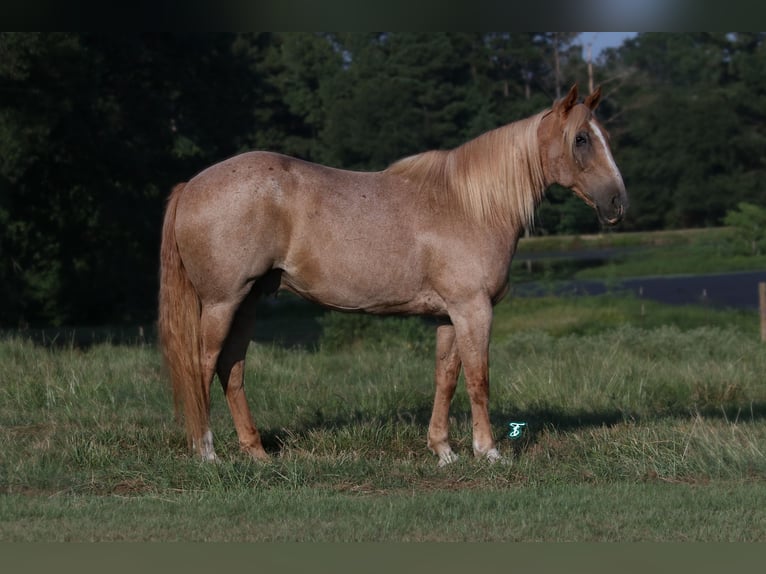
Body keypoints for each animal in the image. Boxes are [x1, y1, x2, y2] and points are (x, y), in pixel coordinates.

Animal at [159, 83, 628, 466]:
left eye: (606, 136)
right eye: (581, 138)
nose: (617, 202)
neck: (470, 205)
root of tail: (190, 186)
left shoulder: (448, 315)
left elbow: (447, 378)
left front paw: (444, 450)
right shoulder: (473, 309)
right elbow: (478, 379)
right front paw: (488, 451)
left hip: (248, 302)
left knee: (232, 369)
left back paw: (256, 453)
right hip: (222, 302)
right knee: (203, 366)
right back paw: (207, 453)